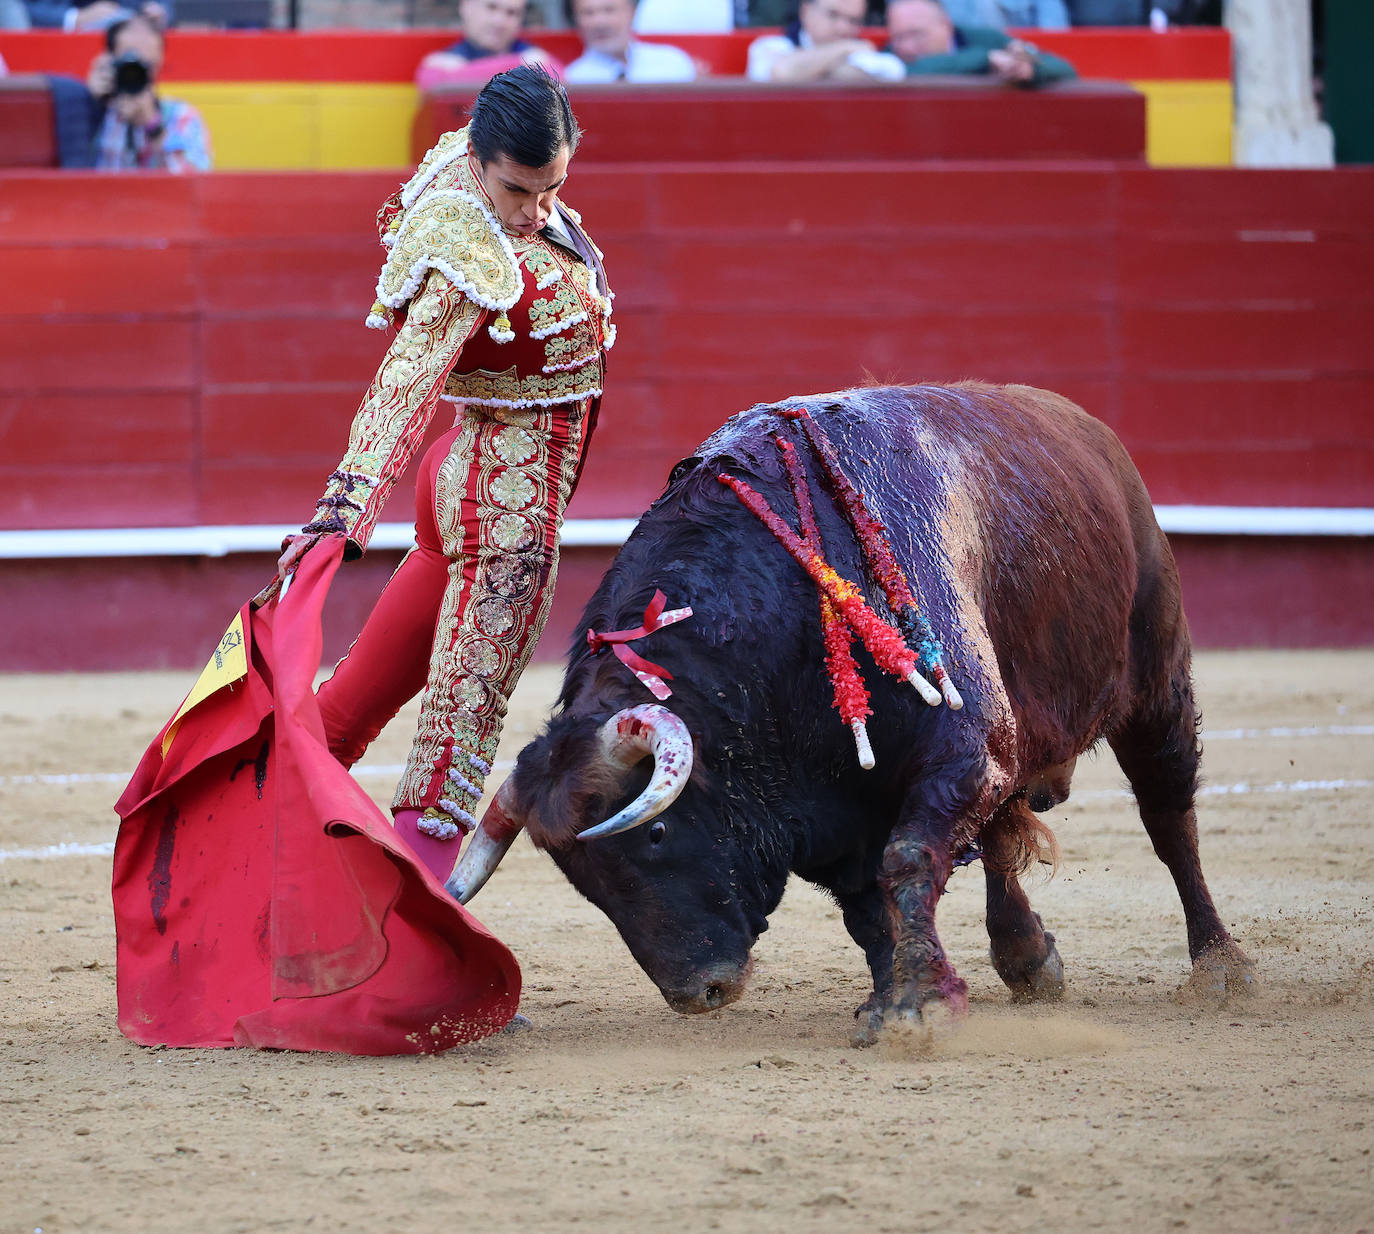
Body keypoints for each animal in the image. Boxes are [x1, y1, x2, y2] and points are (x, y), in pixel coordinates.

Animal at [447, 382, 1258, 1038]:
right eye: (580, 879)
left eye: (653, 836)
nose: (698, 992)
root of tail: (1090, 431)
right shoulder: (840, 806)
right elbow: (871, 907)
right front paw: (890, 998)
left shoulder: (964, 754)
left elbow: (908, 860)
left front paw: (919, 1006)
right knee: (1004, 840)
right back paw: (1028, 960)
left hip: (1156, 686)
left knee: (1168, 819)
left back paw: (1220, 968)